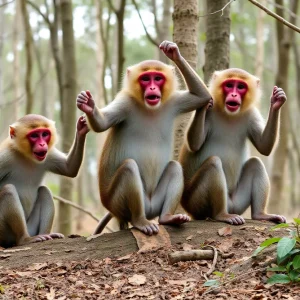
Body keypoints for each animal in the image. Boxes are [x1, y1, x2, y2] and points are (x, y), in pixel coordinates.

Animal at [0, 113, 89, 247]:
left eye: (45, 134)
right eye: (34, 135)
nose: (42, 144)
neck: (26, 156)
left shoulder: (48, 154)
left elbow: (69, 168)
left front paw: (81, 128)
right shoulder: (4, 156)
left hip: (31, 227)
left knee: (44, 191)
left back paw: (46, 234)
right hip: (4, 231)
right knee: (8, 189)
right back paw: (24, 239)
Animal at [179, 68, 288, 226]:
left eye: (240, 87)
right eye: (229, 85)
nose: (234, 95)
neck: (229, 114)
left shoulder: (251, 113)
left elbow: (263, 146)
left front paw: (276, 102)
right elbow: (194, 144)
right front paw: (205, 103)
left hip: (236, 203)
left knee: (256, 163)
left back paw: (260, 215)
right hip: (195, 202)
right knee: (213, 163)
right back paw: (221, 215)